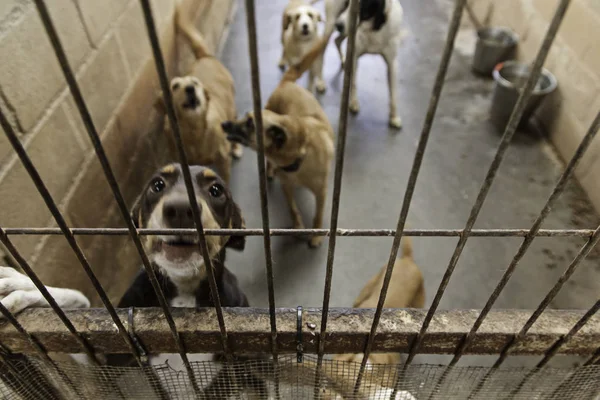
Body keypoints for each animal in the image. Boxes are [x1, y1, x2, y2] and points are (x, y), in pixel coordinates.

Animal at [156, 5, 245, 183]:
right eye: (175, 86)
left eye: (196, 83)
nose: (190, 88)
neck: (194, 131)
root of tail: (204, 56)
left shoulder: (223, 160)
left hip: (231, 108)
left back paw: (236, 146)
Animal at [221, 32, 336, 248]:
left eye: (250, 123)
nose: (224, 124)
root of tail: (286, 83)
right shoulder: (286, 187)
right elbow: (293, 209)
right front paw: (298, 226)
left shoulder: (322, 192)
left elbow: (317, 216)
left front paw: (316, 236)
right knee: (268, 161)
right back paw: (270, 170)